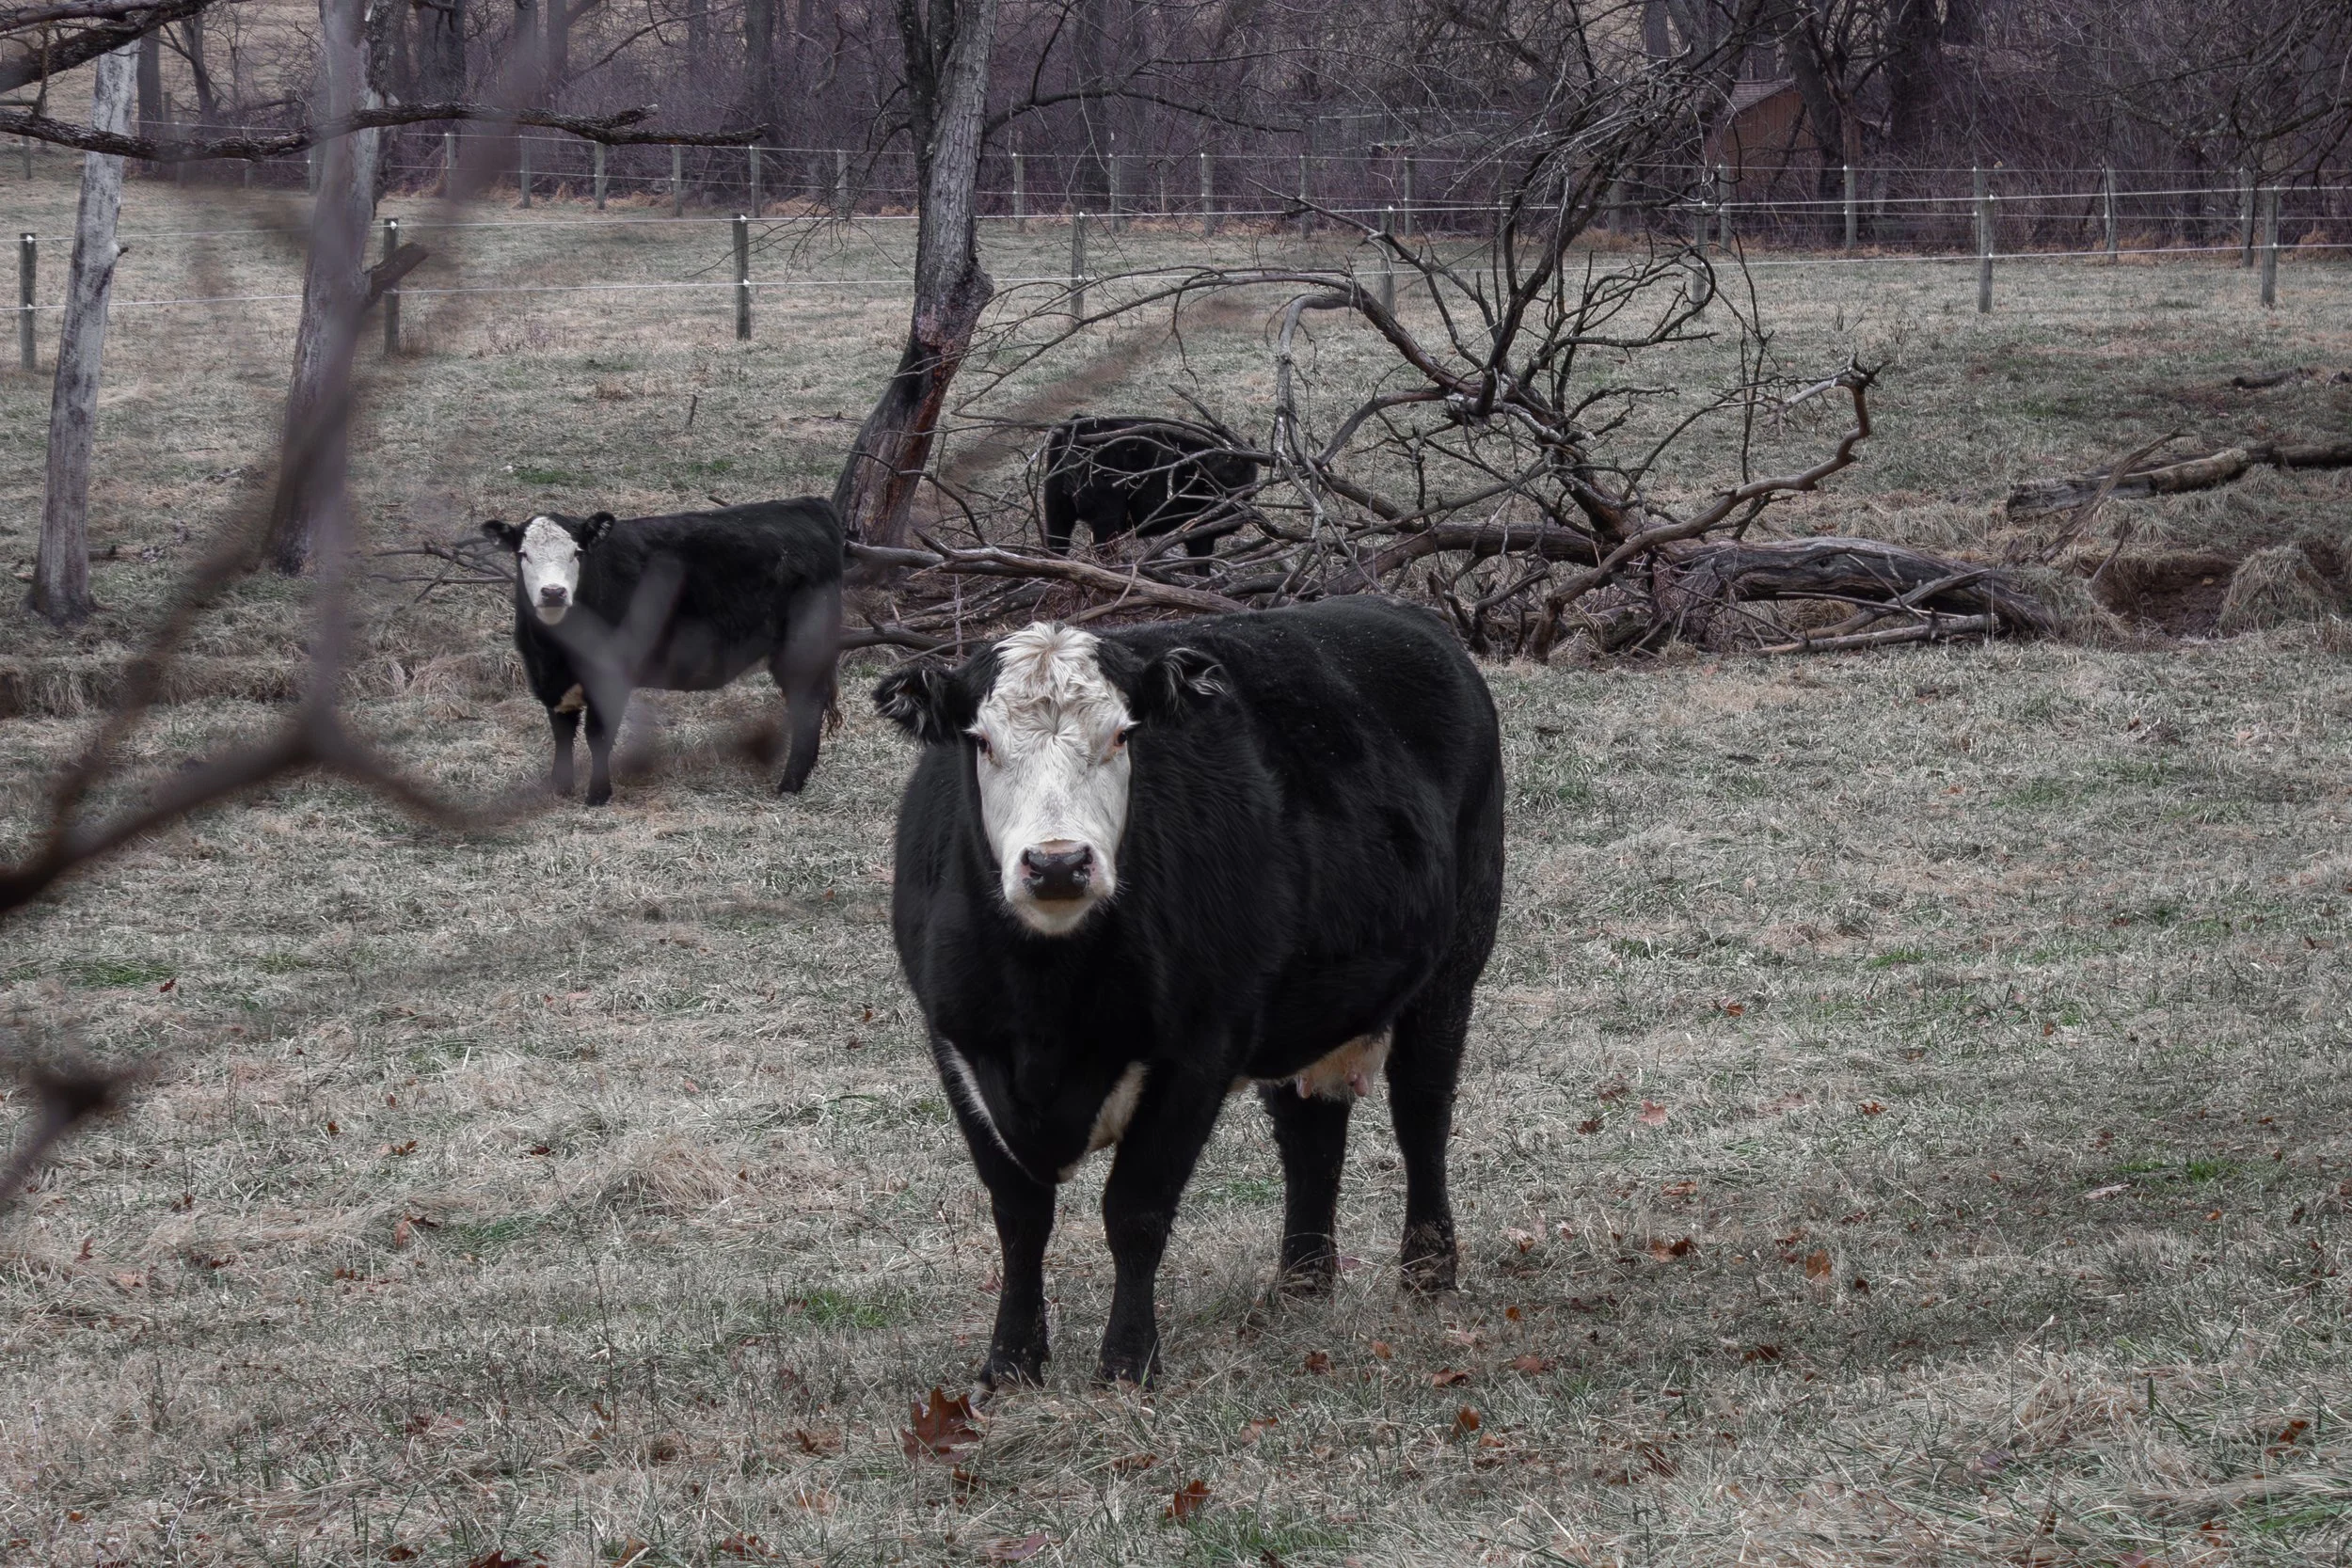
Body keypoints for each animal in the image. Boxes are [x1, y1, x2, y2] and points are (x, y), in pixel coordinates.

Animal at [480, 499, 843, 806]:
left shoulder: (609, 677)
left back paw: (789, 784)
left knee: (807, 709)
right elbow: (562, 733)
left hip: (802, 650)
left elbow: (598, 735)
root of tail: (810, 504)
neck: (555, 653)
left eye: (578, 552)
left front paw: (598, 794)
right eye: (523, 554)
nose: (554, 592)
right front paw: (560, 787)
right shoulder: (550, 682)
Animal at [874, 597, 1504, 1387]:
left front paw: (1126, 1361)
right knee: (1310, 1137)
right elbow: (1019, 1215)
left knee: (1422, 1112)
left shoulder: (1198, 1050)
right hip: (1301, 1002)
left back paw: (1426, 1272)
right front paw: (1011, 1362)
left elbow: (1136, 1211)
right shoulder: (958, 1047)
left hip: (1453, 965)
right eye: (982, 742)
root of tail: (1397, 613)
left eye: (1121, 735)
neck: (1046, 1014)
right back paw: (1300, 1284)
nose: (1058, 863)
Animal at [1039, 416, 1264, 560]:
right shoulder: (1198, 531)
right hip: (1107, 518)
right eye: (1226, 478)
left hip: (1057, 509)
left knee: (1057, 546)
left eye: (1244, 480)